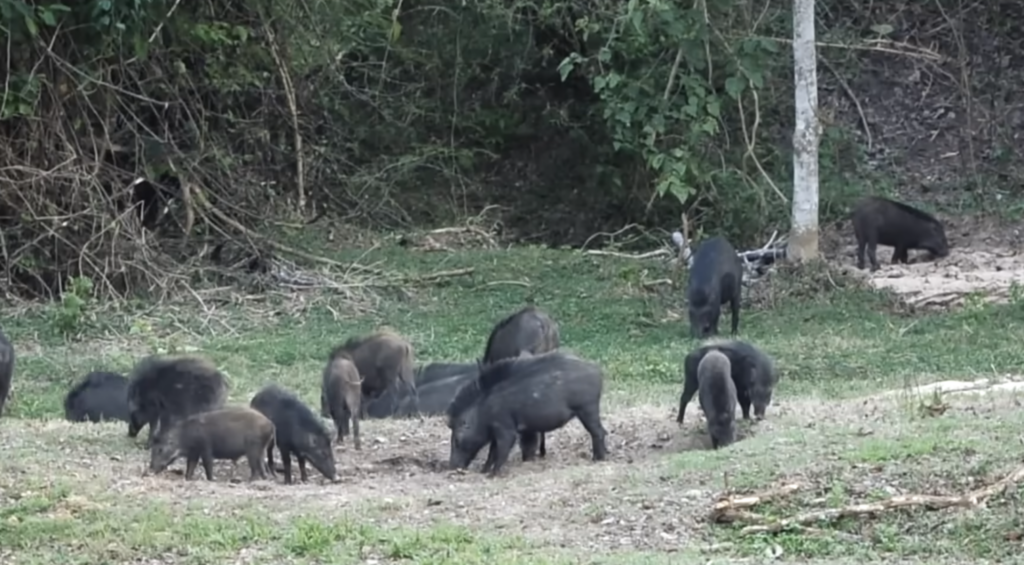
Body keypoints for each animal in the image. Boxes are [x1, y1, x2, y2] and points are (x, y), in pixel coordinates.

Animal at [147, 406, 276, 481]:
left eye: (160, 449)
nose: (151, 468)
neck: (186, 436)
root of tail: (271, 425)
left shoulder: (206, 448)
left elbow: (207, 465)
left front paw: (211, 479)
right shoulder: (194, 452)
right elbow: (190, 466)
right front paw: (188, 478)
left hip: (253, 448)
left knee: (255, 468)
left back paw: (249, 480)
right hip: (261, 449)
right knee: (262, 465)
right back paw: (264, 478)